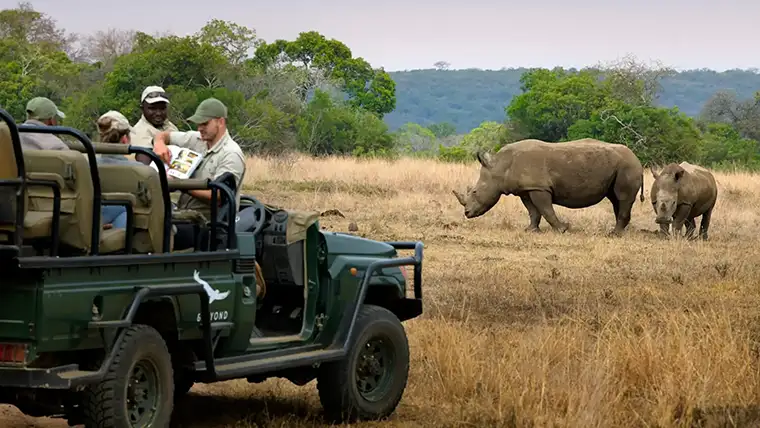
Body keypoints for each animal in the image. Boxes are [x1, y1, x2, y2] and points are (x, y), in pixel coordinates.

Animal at [452, 138, 645, 234]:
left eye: (474, 191)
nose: (467, 213)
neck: (500, 166)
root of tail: (638, 160)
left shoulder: (539, 187)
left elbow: (546, 209)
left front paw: (562, 229)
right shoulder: (527, 188)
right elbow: (533, 211)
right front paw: (530, 230)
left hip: (627, 166)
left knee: (622, 197)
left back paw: (614, 234)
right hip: (620, 166)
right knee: (615, 199)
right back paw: (620, 231)